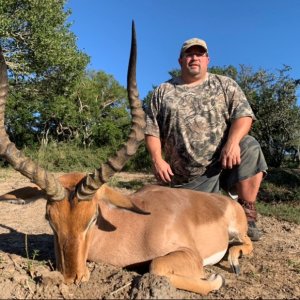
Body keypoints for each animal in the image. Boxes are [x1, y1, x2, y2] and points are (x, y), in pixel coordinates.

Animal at [0, 21, 253, 296]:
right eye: (49, 218)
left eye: (93, 218)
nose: (72, 277)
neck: (134, 226)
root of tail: (226, 201)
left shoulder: (190, 254)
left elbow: (156, 266)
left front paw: (216, 279)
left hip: (238, 229)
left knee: (246, 242)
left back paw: (234, 261)